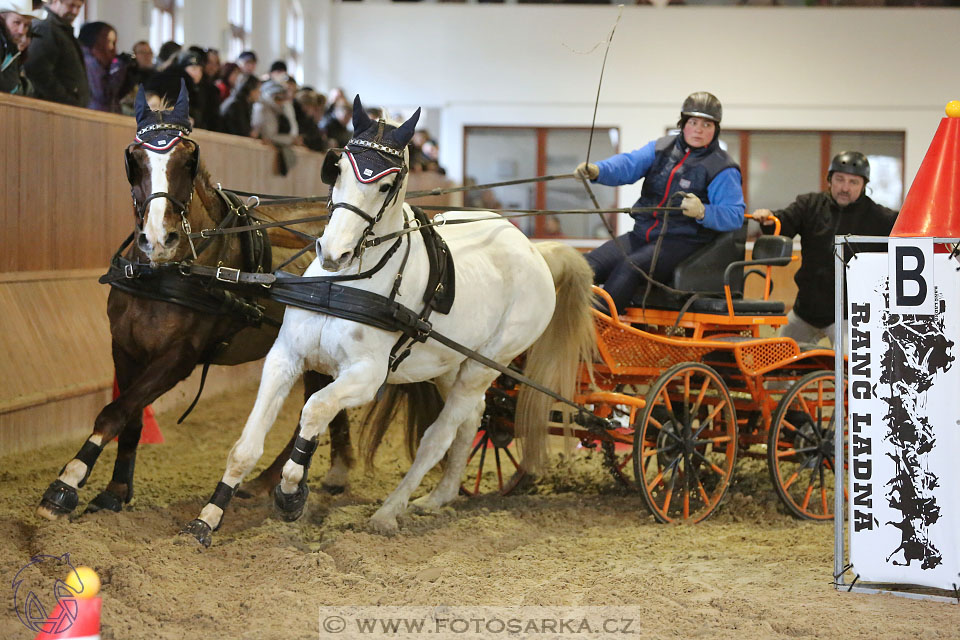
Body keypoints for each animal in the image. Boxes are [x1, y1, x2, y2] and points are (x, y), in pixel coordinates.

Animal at [35, 85, 356, 524]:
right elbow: (129, 418)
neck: (166, 273)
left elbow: (114, 412)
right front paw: (115, 491)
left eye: (189, 160)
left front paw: (65, 484)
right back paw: (290, 478)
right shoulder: (126, 348)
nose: (158, 238)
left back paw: (291, 480)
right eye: (133, 159)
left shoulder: (178, 358)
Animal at [184, 96, 596, 544]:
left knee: (438, 436)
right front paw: (208, 517)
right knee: (470, 421)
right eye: (338, 169)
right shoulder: (285, 357)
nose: (333, 253)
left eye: (386, 185)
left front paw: (291, 494)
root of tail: (536, 250)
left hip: (487, 363)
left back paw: (389, 511)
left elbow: (315, 410)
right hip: (452, 365)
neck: (343, 283)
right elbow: (246, 445)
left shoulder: (366, 376)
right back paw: (440, 496)